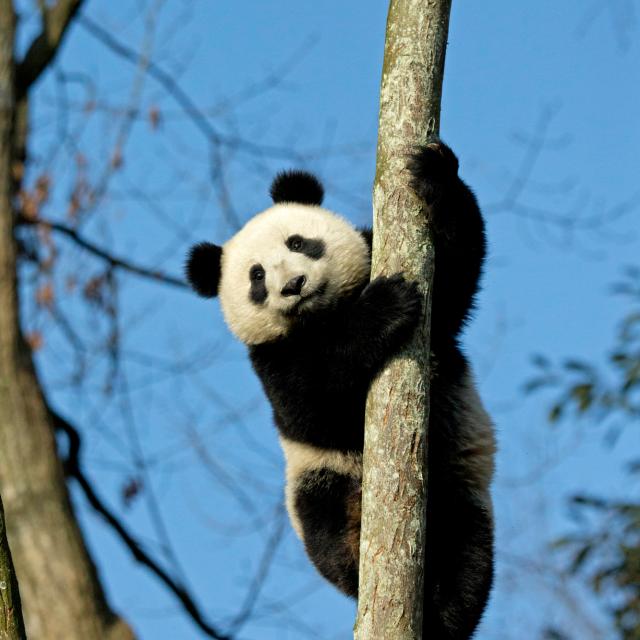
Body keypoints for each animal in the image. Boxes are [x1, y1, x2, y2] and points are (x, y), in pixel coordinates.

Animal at [186, 141, 495, 640]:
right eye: (256, 277)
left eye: (298, 242)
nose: (293, 286)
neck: (325, 315)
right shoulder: (272, 359)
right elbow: (314, 404)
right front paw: (383, 309)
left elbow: (454, 276)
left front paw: (436, 172)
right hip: (319, 479)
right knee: (328, 529)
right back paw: (362, 560)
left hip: (460, 490)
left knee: (466, 560)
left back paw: (443, 614)